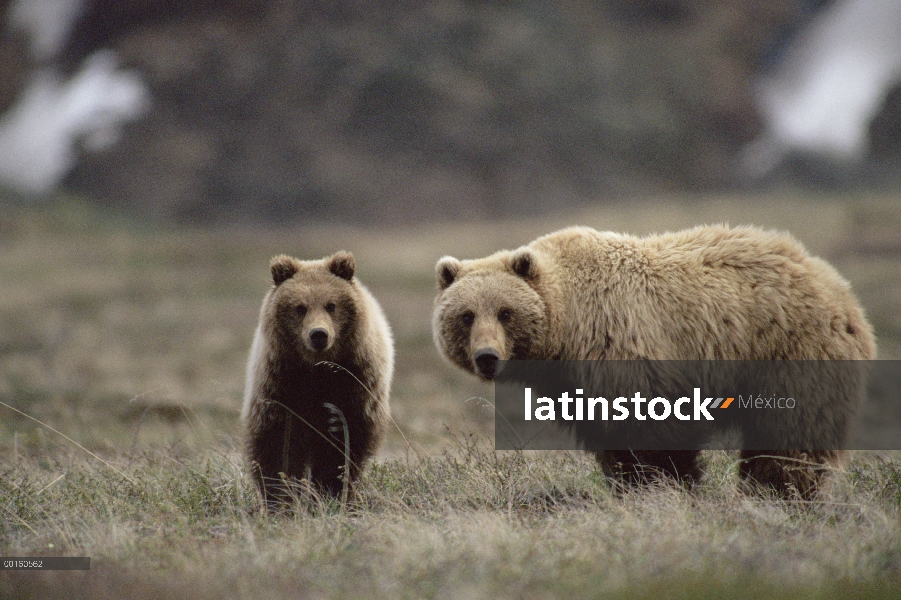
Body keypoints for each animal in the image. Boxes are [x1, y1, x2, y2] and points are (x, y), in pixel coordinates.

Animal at [241, 251, 392, 504]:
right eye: (300, 307)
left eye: (331, 305)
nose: (319, 334)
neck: (317, 369)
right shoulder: (280, 384)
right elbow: (277, 445)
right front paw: (281, 496)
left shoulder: (355, 383)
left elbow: (343, 446)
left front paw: (330, 491)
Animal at [432, 225, 876, 496]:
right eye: (467, 315)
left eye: (505, 312)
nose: (487, 357)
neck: (566, 329)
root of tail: (836, 283)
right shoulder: (578, 383)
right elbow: (611, 443)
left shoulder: (624, 347)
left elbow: (653, 437)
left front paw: (665, 486)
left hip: (791, 349)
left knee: (791, 437)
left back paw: (777, 492)